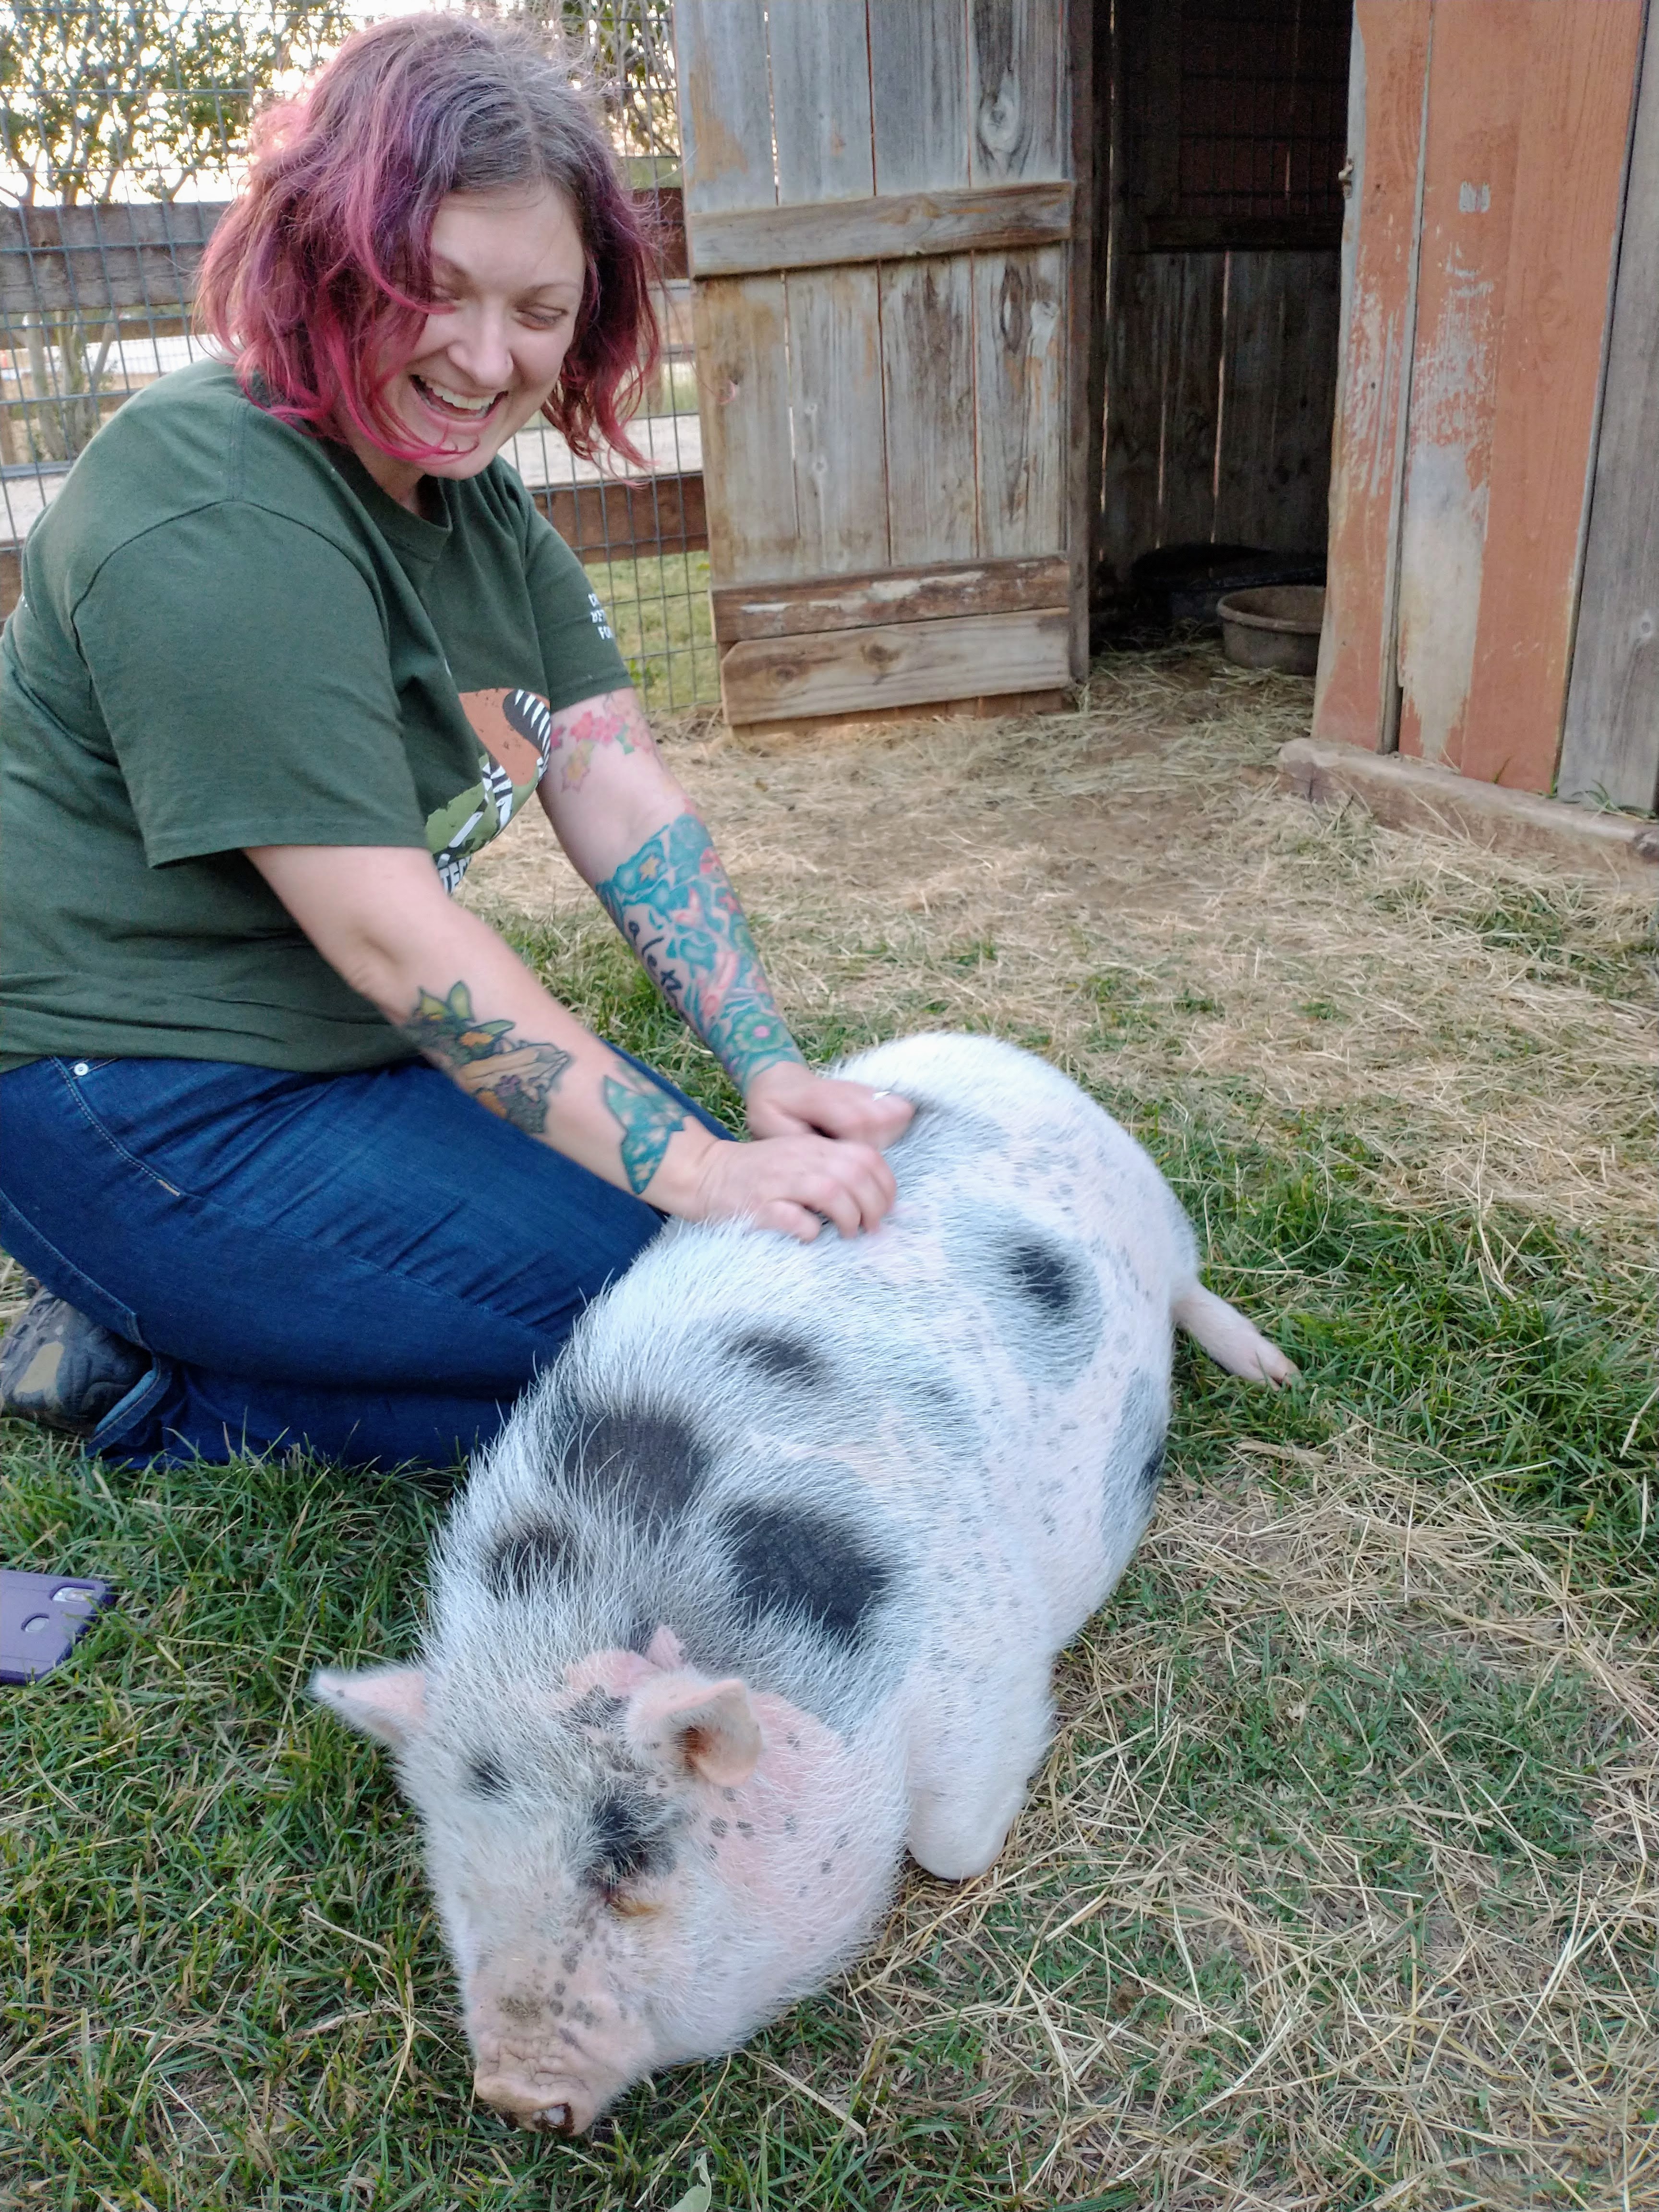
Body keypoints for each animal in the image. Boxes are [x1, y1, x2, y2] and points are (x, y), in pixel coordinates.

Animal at [312, 1032, 1293, 2133]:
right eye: (458, 1869)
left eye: (627, 1862)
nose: (515, 2093)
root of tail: (981, 1044)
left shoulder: (985, 1657)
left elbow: (952, 1846)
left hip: (1157, 1204)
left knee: (1190, 1285)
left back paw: (1274, 1371)